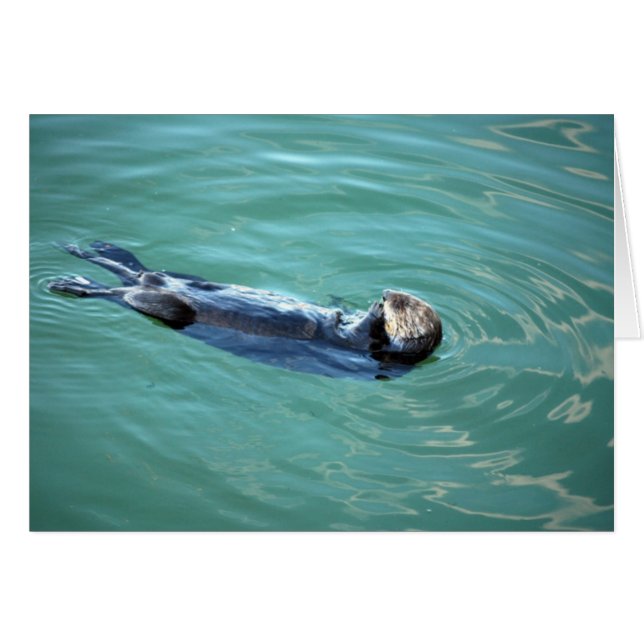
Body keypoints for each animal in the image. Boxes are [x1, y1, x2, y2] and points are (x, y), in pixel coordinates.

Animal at [48, 241, 442, 379]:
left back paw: (72, 282)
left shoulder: (368, 347)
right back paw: (94, 249)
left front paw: (375, 312)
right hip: (175, 277)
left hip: (170, 308)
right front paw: (347, 304)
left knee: (123, 293)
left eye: (403, 304)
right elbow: (340, 316)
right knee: (135, 270)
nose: (387, 293)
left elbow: (359, 333)